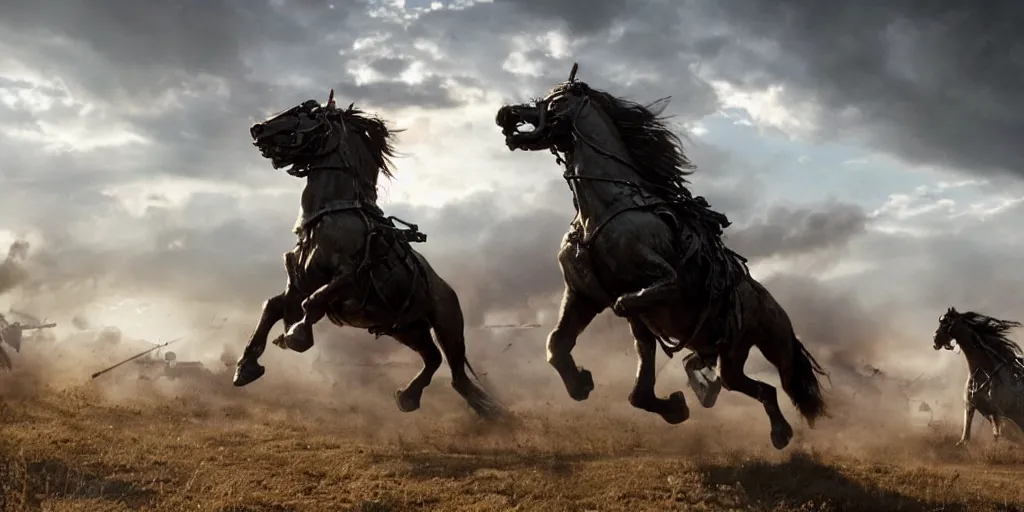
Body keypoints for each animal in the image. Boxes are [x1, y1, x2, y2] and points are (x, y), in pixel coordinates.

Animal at [937, 305, 1024, 446]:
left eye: (946, 324)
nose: (935, 341)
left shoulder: (999, 414)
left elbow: (1001, 434)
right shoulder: (972, 406)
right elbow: (966, 437)